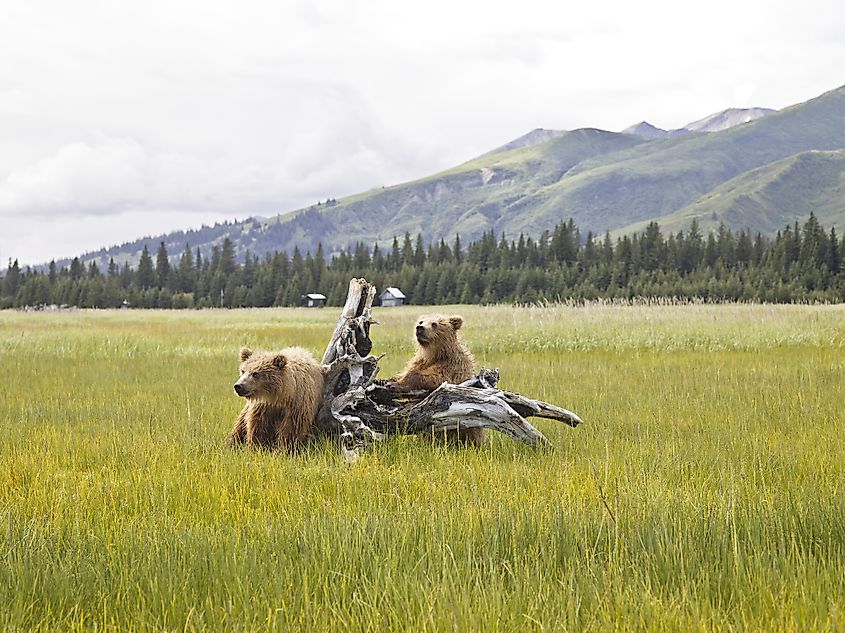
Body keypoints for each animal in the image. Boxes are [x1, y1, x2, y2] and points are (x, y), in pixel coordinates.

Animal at [386, 314, 484, 444]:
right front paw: (391, 380)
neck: (434, 354)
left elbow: (435, 378)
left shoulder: (452, 367)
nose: (420, 328)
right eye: (421, 321)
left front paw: (395, 385)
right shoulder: (420, 362)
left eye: (434, 324)